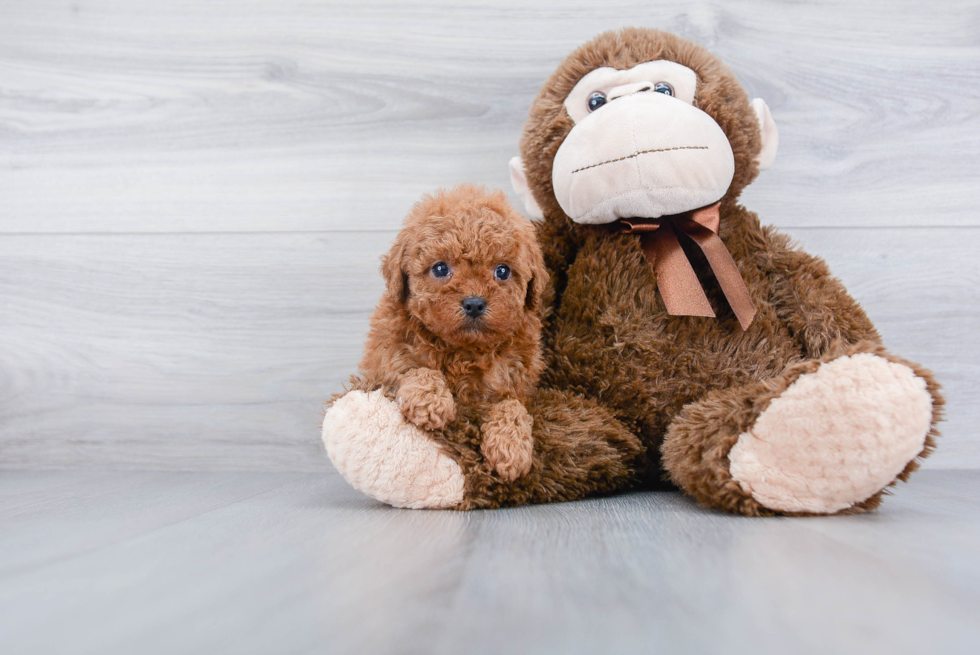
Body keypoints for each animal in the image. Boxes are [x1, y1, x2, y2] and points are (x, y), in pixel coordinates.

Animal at [358, 184, 548, 482]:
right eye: (440, 268)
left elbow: (512, 407)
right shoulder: (384, 358)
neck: (463, 350)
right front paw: (430, 400)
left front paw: (511, 447)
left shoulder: (518, 383)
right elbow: (413, 367)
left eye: (502, 271)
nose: (474, 303)